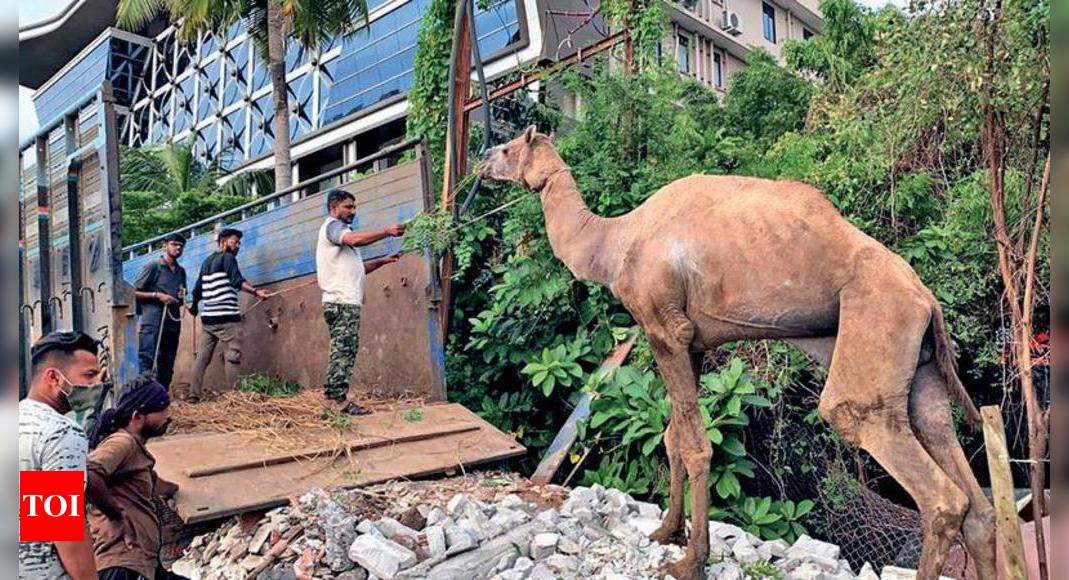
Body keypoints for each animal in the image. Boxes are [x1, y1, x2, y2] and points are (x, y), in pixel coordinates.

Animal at [481, 128, 996, 580]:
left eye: (506, 148)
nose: (482, 163)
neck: (614, 242)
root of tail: (927, 299)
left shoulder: (663, 326)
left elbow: (694, 444)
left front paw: (691, 561)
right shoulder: (689, 341)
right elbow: (672, 436)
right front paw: (666, 532)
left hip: (877, 324)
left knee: (931, 488)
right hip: (920, 367)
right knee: (972, 496)